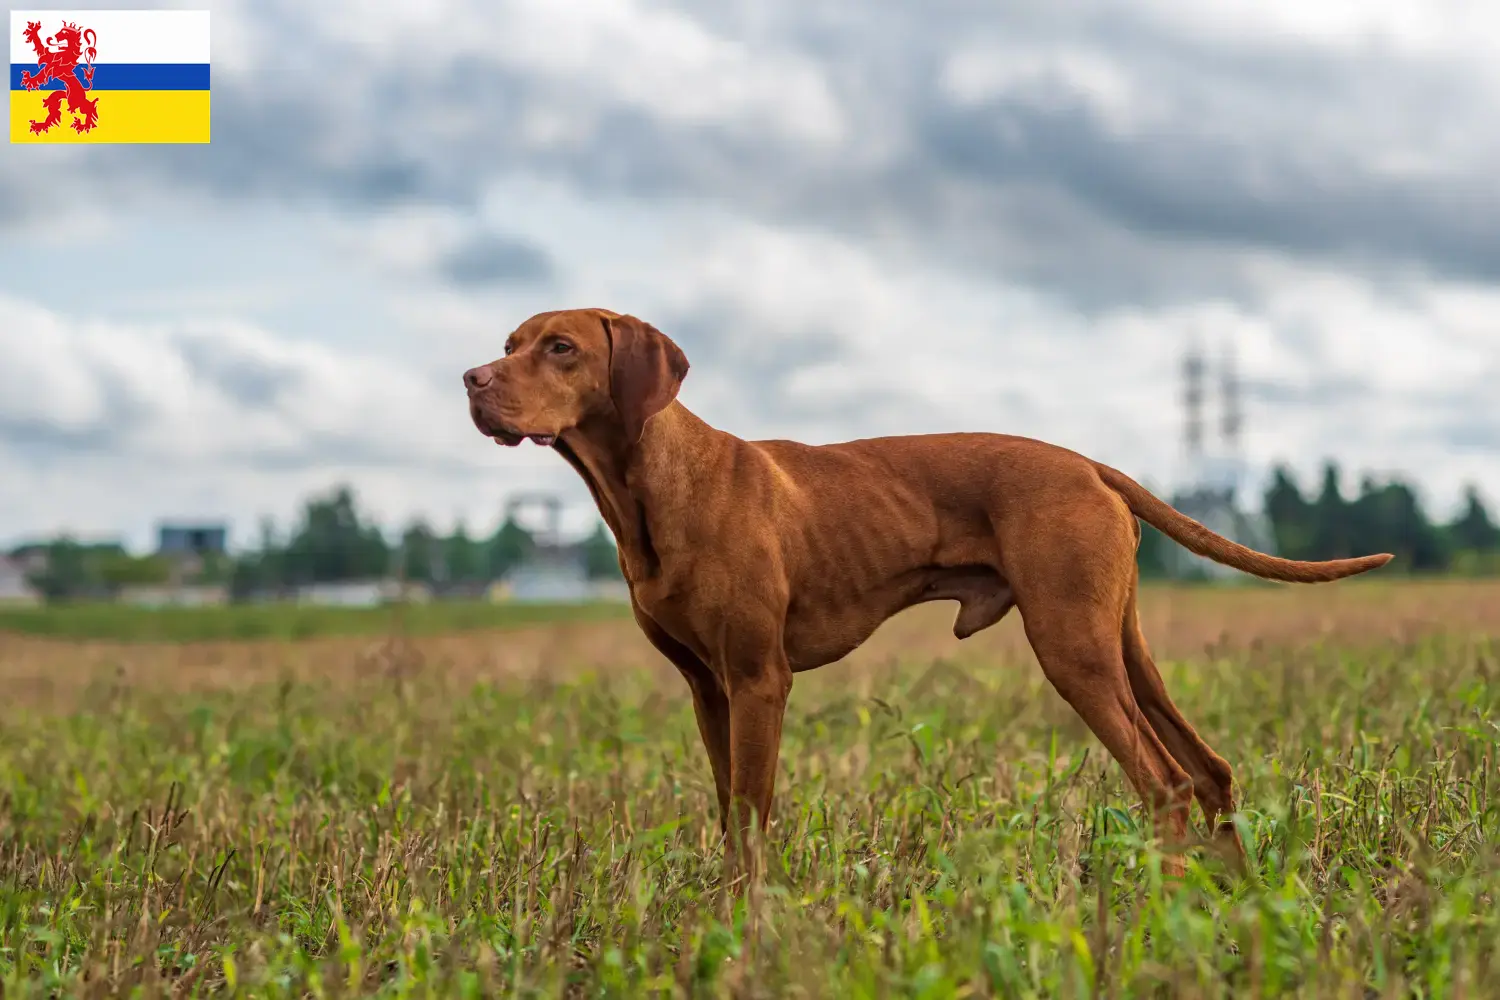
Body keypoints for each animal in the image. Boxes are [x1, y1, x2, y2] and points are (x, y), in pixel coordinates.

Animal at [459, 308, 1392, 881]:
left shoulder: (759, 680)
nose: (471, 379)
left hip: (1073, 651)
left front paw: (748, 927)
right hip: (1122, 646)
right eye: (510, 340)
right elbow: (729, 814)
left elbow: (754, 815)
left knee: (1162, 782)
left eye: (560, 347)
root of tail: (1090, 463)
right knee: (1209, 769)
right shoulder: (707, 689)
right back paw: (1233, 901)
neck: (655, 488)